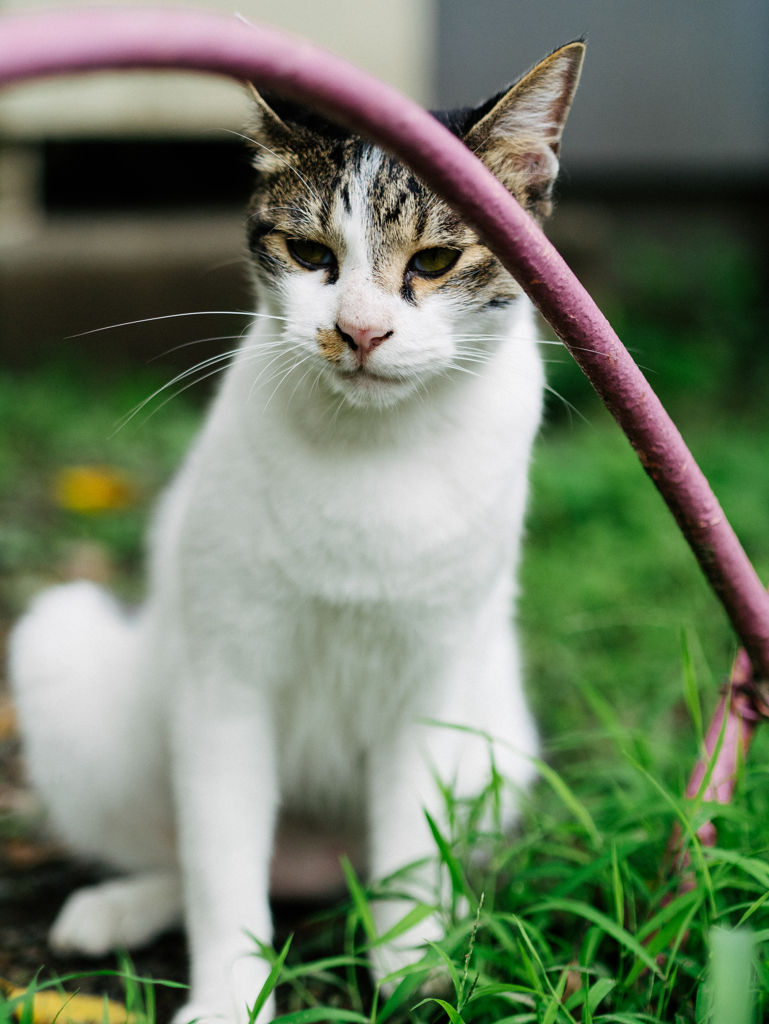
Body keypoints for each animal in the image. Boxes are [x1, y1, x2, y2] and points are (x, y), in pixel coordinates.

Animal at [7, 39, 581, 1024]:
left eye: (435, 259)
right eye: (311, 253)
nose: (359, 331)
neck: (376, 453)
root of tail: (317, 864)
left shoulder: (433, 672)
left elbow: (410, 838)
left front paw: (410, 966)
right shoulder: (224, 681)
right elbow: (220, 856)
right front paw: (230, 996)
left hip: (497, 734)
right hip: (71, 659)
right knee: (200, 854)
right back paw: (121, 907)